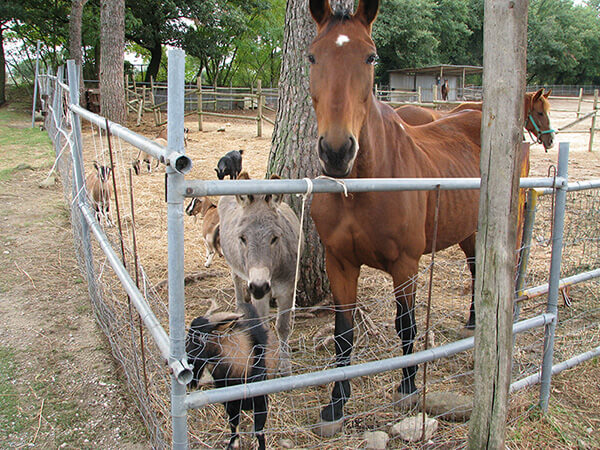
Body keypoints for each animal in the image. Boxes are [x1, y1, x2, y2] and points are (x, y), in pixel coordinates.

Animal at [188, 300, 278, 450]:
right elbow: (233, 423)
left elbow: (259, 431)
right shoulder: (229, 402)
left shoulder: (261, 402)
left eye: (199, 338)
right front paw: (232, 444)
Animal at [310, 0, 488, 430]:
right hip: (468, 232)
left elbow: (405, 324)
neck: (362, 185)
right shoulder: (339, 263)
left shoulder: (405, 264)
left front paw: (407, 387)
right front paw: (337, 402)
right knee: (477, 270)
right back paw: (474, 320)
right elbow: (343, 332)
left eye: (370, 56)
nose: (337, 151)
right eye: (312, 56)